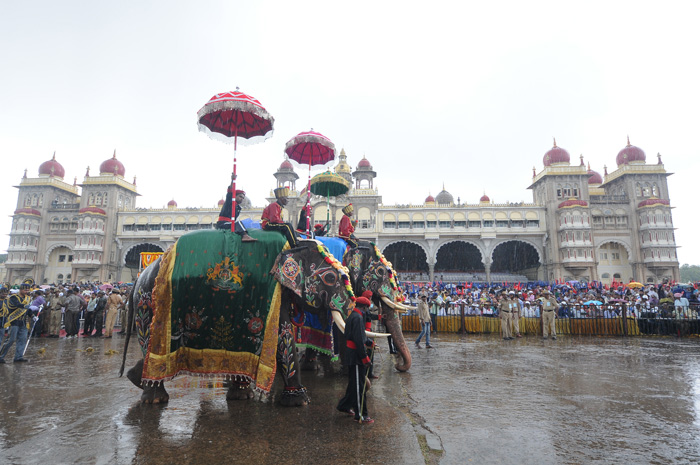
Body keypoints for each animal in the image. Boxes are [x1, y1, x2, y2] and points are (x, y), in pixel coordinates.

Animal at [119, 229, 382, 406]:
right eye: (330, 278)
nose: (369, 383)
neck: (295, 244)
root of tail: (139, 278)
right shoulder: (274, 290)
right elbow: (283, 334)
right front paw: (299, 401)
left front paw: (242, 394)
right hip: (148, 303)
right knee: (148, 340)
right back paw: (154, 397)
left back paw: (135, 378)